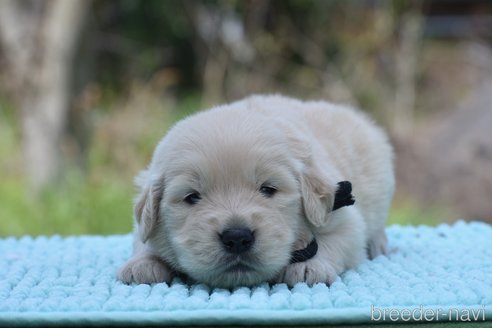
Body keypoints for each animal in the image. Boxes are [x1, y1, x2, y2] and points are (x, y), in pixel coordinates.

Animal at [117, 94, 394, 288]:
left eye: (268, 189)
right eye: (192, 197)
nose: (237, 237)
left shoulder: (340, 213)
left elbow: (338, 238)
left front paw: (308, 266)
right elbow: (143, 239)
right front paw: (142, 263)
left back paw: (379, 244)